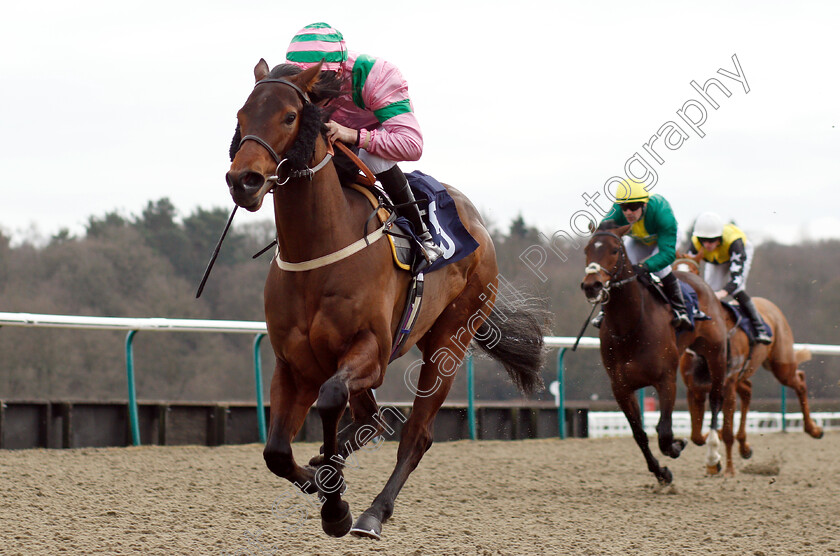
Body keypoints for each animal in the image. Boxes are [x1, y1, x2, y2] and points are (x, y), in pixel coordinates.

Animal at [226, 60, 548, 540]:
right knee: (372, 420)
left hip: (450, 338)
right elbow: (277, 452)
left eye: (289, 116)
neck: (318, 250)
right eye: (241, 117)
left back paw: (373, 512)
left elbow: (331, 400)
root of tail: (477, 223)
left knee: (414, 434)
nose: (241, 180)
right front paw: (321, 481)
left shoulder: (370, 351)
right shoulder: (293, 364)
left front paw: (336, 507)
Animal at [580, 224, 732, 484]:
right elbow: (639, 434)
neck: (630, 327)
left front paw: (677, 445)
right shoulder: (621, 388)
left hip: (716, 354)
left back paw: (713, 456)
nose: (592, 285)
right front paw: (662, 473)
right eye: (587, 250)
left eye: (614, 250)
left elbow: (664, 432)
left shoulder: (666, 380)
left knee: (715, 399)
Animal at [672, 250, 824, 476]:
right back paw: (744, 446)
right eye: (673, 270)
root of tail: (770, 306)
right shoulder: (695, 388)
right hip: (745, 375)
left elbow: (726, 432)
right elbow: (697, 435)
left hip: (780, 365)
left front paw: (728, 469)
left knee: (800, 381)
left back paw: (813, 429)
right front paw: (716, 456)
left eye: (694, 272)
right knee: (748, 391)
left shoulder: (726, 385)